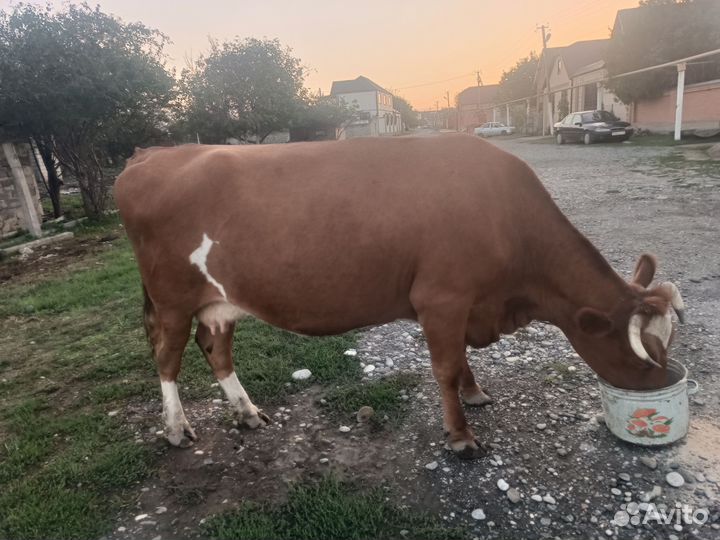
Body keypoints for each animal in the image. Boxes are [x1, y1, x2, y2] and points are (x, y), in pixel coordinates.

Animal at [115, 134, 684, 459]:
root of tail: (150, 155)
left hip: (218, 300)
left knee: (216, 350)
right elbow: (446, 367)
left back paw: (248, 412)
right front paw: (461, 438)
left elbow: (462, 360)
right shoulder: (442, 298)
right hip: (171, 298)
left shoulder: (463, 304)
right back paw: (176, 428)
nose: (665, 383)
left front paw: (475, 394)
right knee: (166, 358)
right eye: (643, 353)